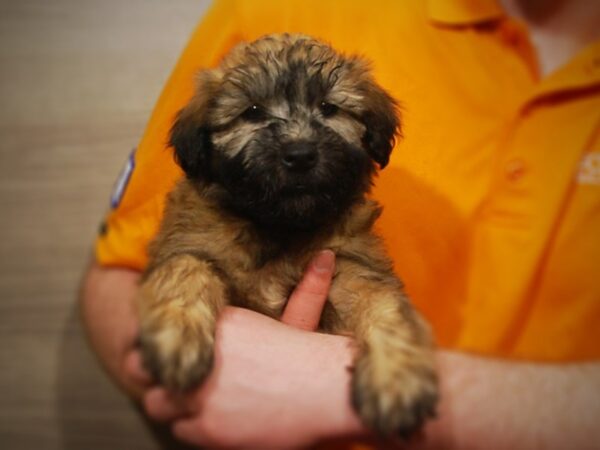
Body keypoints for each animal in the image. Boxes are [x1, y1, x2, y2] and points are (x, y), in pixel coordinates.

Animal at [138, 33, 438, 438]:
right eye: (252, 112)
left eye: (328, 107)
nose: (300, 154)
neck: (280, 226)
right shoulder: (185, 242)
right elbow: (185, 267)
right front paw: (175, 334)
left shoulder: (351, 265)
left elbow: (383, 302)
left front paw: (397, 377)